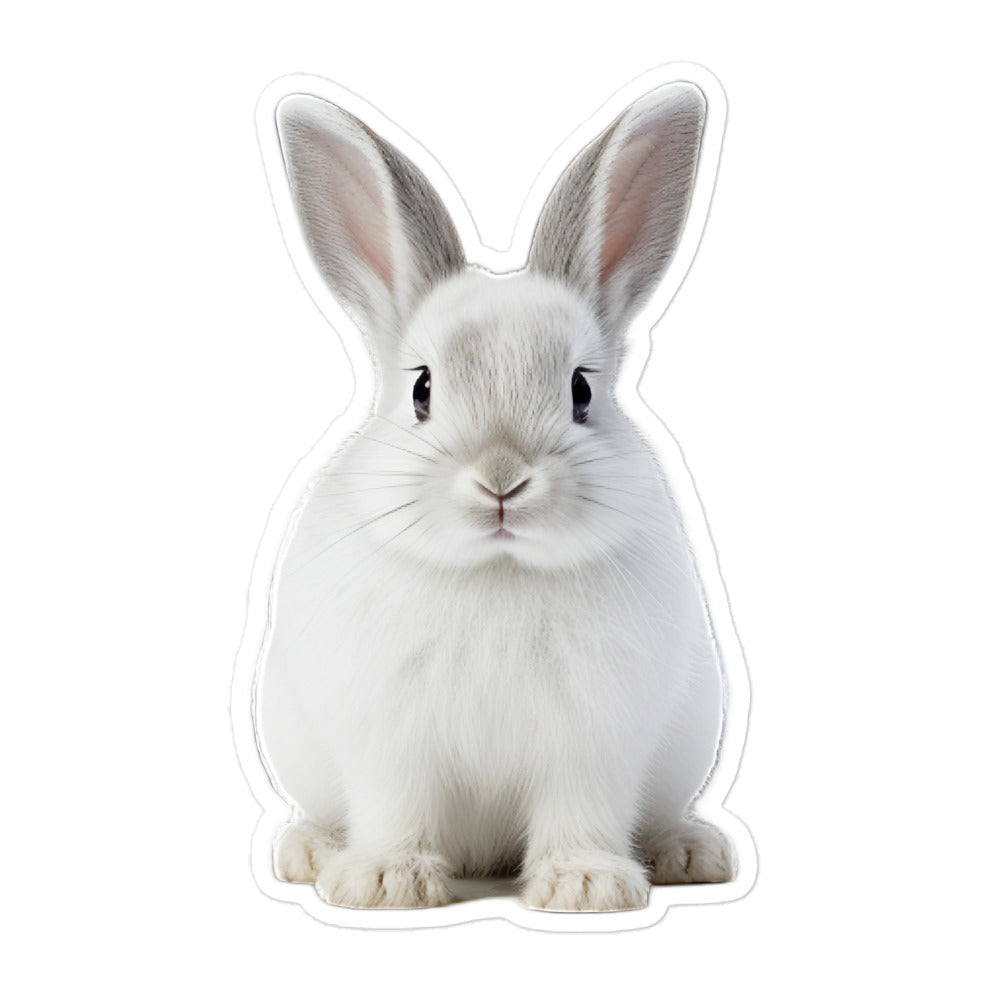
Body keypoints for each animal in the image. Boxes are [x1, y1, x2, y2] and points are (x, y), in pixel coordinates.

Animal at [254, 81, 735, 912]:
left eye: (581, 391)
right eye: (421, 390)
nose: (502, 480)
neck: (498, 570)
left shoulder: (591, 743)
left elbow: (580, 812)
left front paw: (585, 886)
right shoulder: (392, 743)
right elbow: (397, 809)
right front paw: (384, 883)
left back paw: (687, 852)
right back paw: (310, 852)